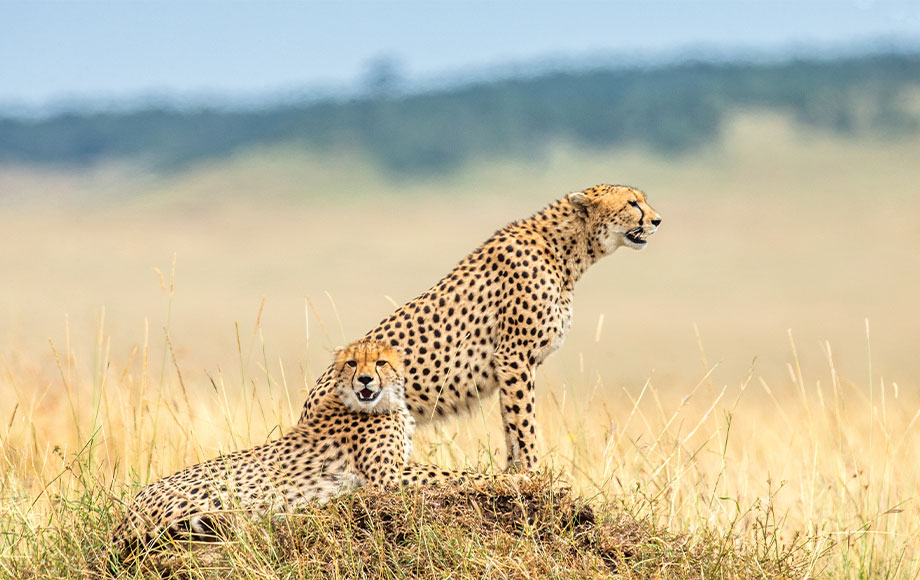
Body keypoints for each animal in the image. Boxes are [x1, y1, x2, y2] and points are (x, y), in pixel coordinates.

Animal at [109, 338, 516, 560]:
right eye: (351, 363)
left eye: (380, 362)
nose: (365, 379)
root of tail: (126, 512)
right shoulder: (388, 476)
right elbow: (456, 474)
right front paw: (514, 477)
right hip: (217, 492)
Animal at [302, 185, 660, 472]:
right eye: (632, 203)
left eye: (643, 200)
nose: (657, 220)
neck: (566, 250)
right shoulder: (514, 356)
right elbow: (525, 422)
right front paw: (533, 473)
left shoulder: (511, 364)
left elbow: (511, 422)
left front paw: (513, 472)